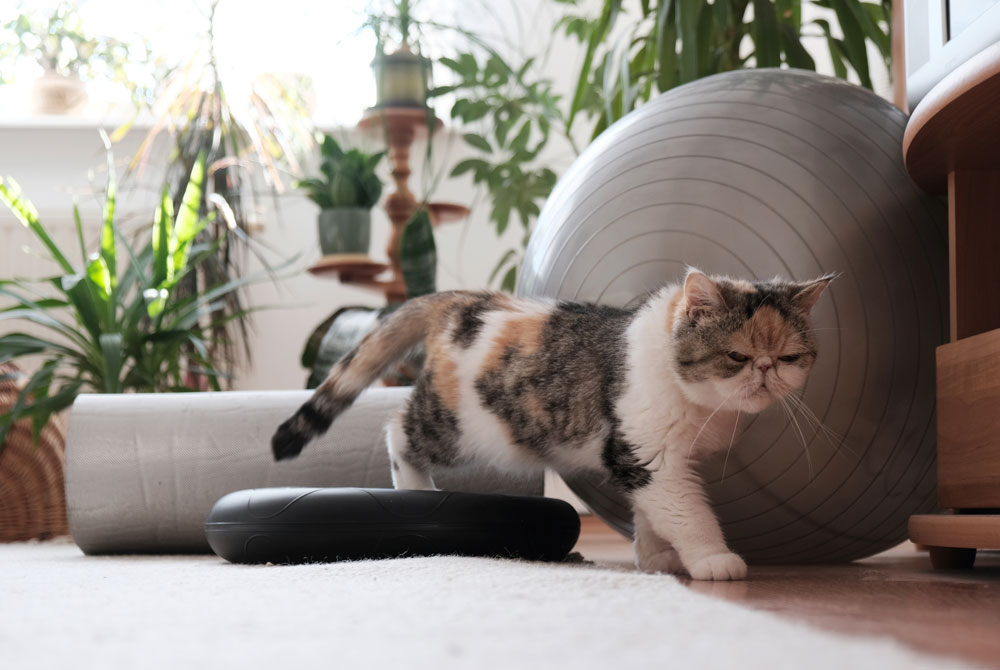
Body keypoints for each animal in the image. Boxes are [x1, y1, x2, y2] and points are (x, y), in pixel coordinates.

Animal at [270, 270, 832, 580]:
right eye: (737, 356)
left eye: (788, 357)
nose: (765, 371)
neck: (697, 401)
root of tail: (463, 300)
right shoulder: (653, 457)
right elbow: (686, 513)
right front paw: (713, 559)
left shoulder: (642, 459)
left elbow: (652, 514)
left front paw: (656, 559)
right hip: (457, 427)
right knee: (396, 430)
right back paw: (415, 489)